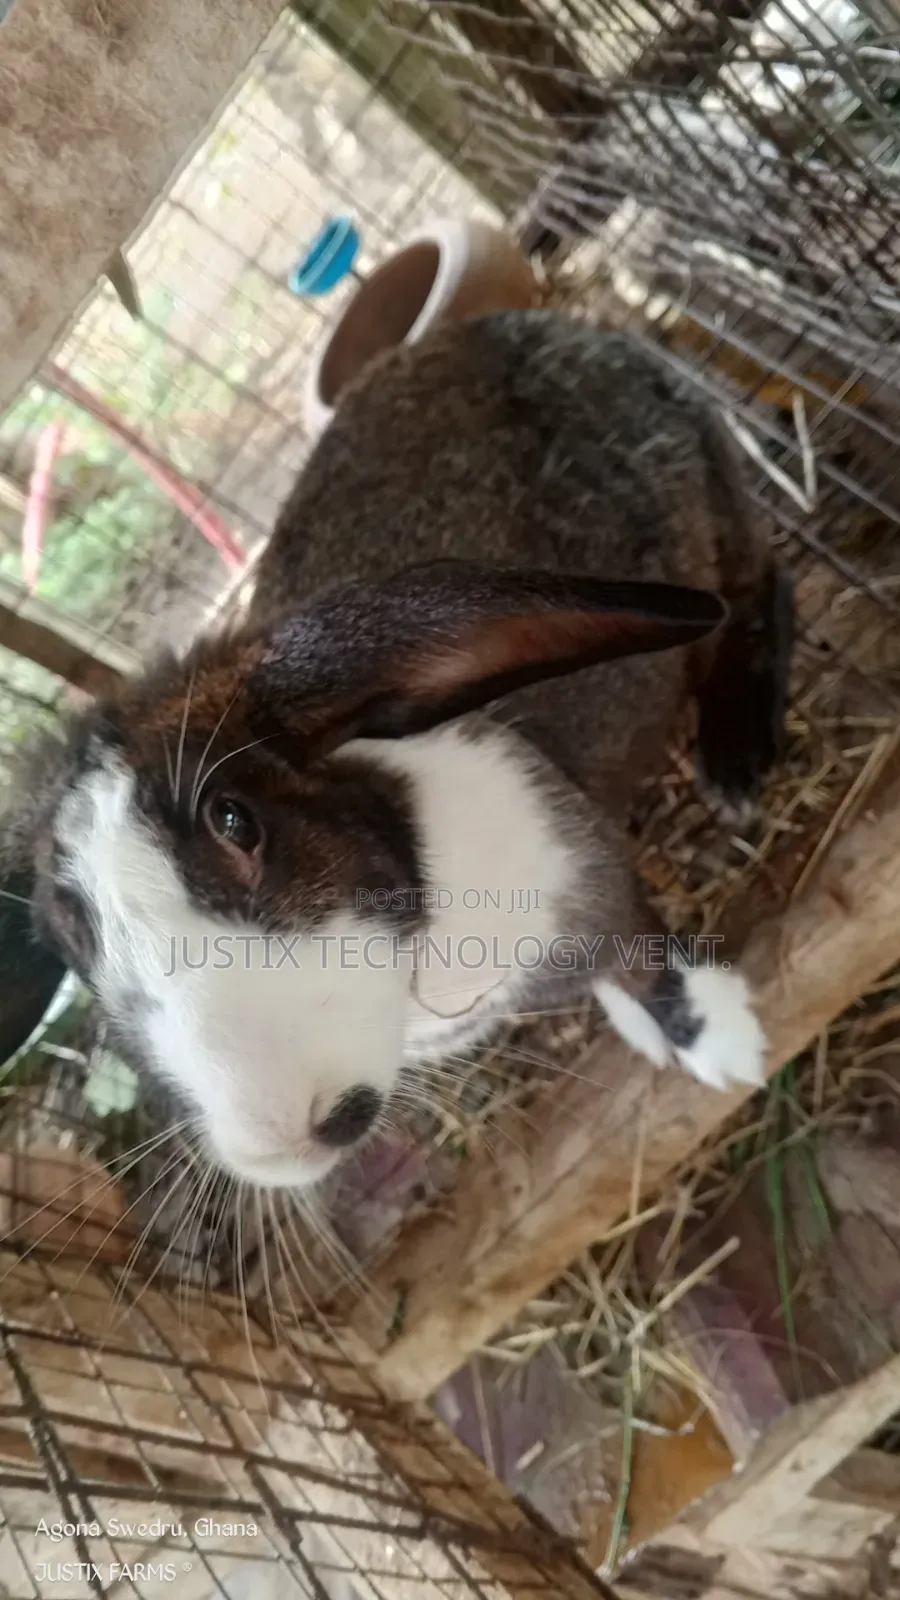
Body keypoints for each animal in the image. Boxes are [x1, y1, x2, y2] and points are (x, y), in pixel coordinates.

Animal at [0, 310, 793, 1192]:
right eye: (74, 947)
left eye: (235, 820)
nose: (294, 1132)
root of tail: (541, 320)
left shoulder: (598, 884)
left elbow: (646, 961)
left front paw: (721, 1043)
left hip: (715, 520)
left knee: (757, 597)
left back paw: (734, 763)